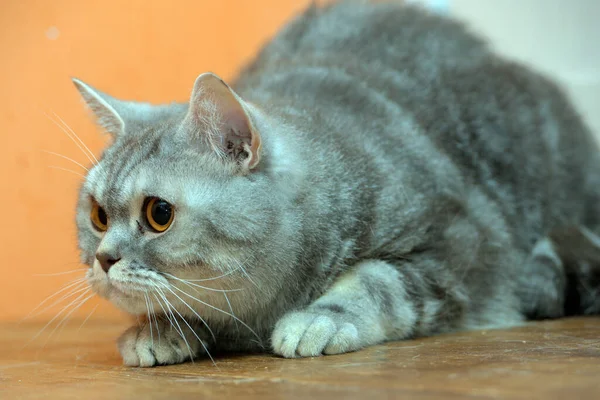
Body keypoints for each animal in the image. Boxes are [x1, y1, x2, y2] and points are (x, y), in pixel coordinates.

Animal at [72, 0, 600, 368]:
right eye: (97, 216)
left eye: (158, 214)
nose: (104, 259)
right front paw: (160, 329)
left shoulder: (458, 244)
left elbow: (377, 280)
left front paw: (320, 318)